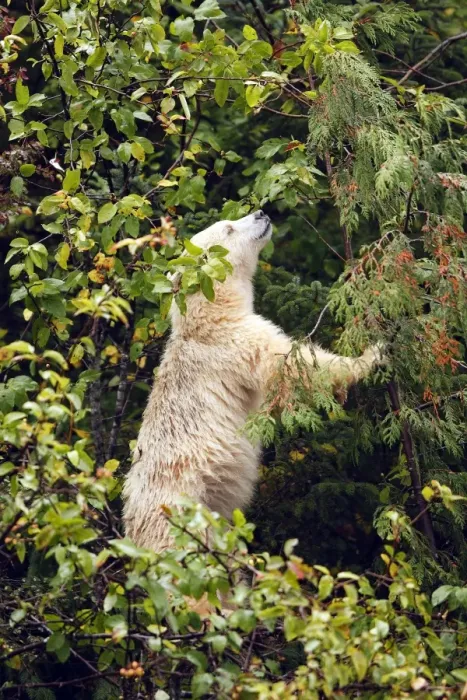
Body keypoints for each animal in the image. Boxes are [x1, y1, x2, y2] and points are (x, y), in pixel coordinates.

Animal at [123, 211, 381, 551]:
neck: (206, 315)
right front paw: (372, 354)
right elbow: (291, 365)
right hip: (179, 514)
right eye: (229, 228)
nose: (261, 213)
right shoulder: (235, 341)